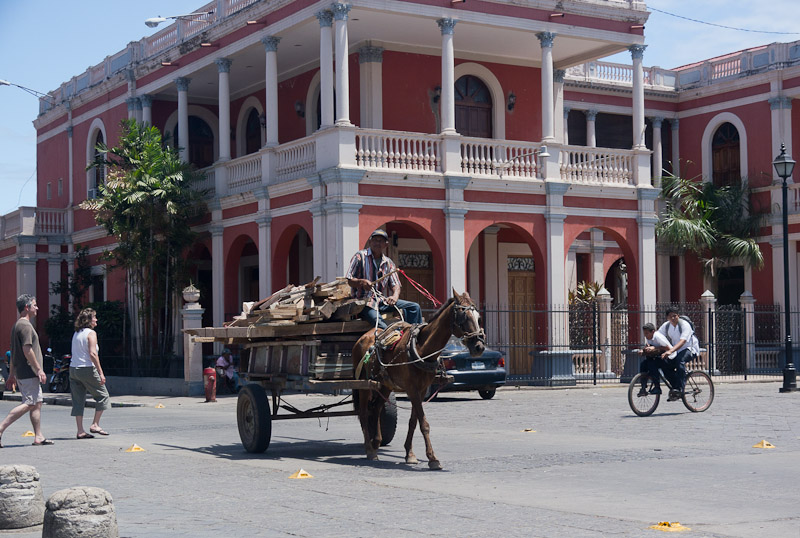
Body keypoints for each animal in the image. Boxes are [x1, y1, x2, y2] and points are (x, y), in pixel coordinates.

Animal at [352, 286, 488, 466]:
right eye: (464, 317)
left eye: (478, 318)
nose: (479, 346)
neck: (421, 349)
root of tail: (364, 336)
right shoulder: (412, 389)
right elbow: (424, 423)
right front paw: (432, 458)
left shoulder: (422, 390)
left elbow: (413, 422)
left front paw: (410, 454)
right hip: (363, 385)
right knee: (363, 412)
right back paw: (369, 448)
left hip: (385, 385)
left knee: (375, 409)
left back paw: (376, 443)